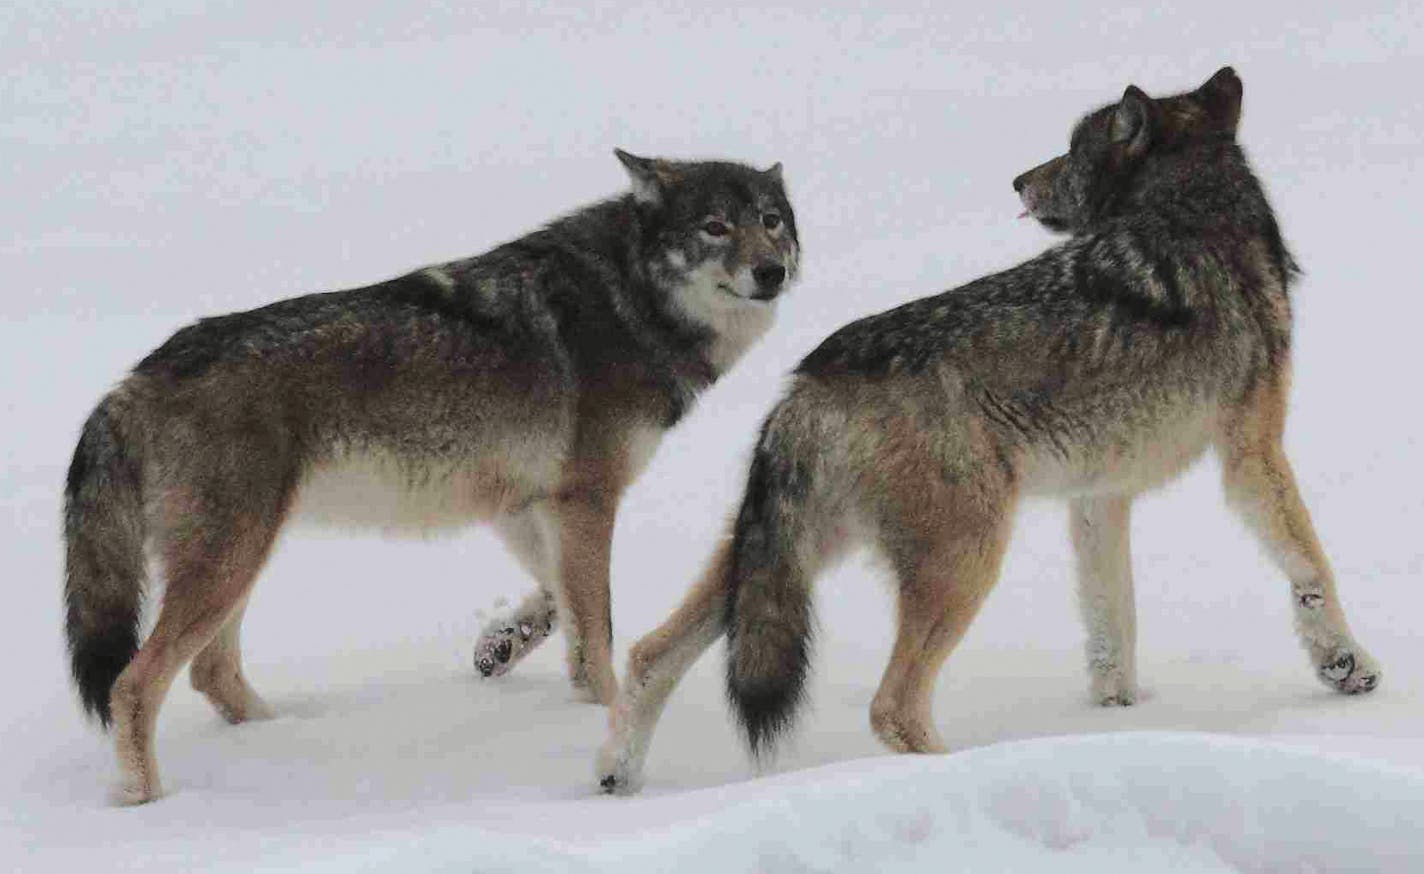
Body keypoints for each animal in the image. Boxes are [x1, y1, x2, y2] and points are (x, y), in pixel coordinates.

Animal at [64, 147, 803, 802]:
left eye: (771, 220)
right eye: (715, 226)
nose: (771, 272)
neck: (630, 297)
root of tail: (130, 383)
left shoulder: (523, 503)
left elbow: (556, 598)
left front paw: (502, 646)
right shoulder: (586, 499)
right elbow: (596, 631)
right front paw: (602, 714)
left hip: (243, 558)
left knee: (211, 674)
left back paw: (287, 742)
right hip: (232, 559)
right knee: (134, 684)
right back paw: (147, 799)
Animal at [592, 66, 1378, 797]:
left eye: (1069, 150)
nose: (1019, 179)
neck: (1195, 212)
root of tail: (809, 380)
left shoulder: (1099, 497)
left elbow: (1112, 626)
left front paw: (1120, 718)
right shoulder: (1251, 452)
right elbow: (1312, 565)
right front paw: (1347, 666)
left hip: (779, 562)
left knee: (650, 653)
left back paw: (615, 777)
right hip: (968, 560)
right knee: (892, 708)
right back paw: (970, 775)